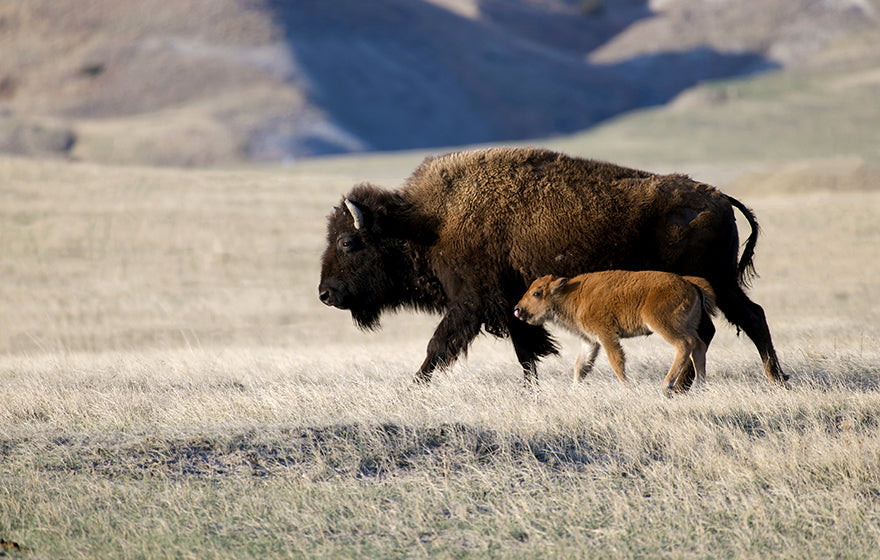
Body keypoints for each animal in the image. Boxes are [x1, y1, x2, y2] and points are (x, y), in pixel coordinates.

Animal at [516, 270, 716, 392]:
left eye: (536, 293)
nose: (517, 309)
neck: (572, 294)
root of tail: (689, 284)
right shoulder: (590, 341)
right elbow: (580, 367)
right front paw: (573, 391)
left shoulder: (606, 335)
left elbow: (616, 361)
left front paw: (626, 389)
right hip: (688, 326)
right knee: (698, 346)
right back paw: (700, 386)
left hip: (663, 324)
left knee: (685, 344)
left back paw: (667, 384)